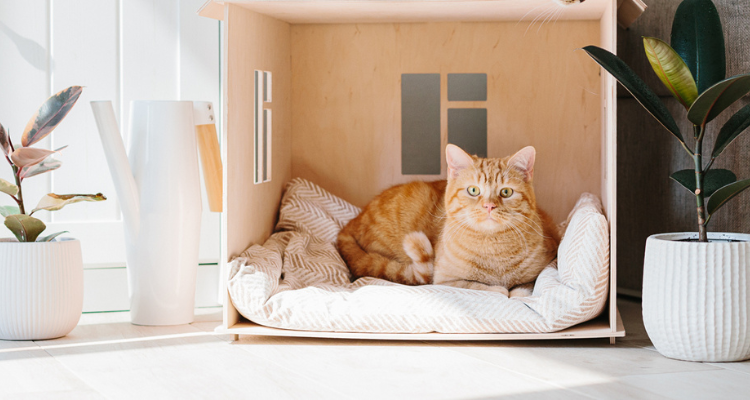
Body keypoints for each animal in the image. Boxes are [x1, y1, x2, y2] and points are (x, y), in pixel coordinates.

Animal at [338, 145, 560, 296]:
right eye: (473, 190)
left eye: (506, 192)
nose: (489, 206)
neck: (494, 250)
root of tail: (353, 220)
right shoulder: (445, 281)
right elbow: (480, 286)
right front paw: (499, 290)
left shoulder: (545, 264)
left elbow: (526, 286)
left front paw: (515, 291)